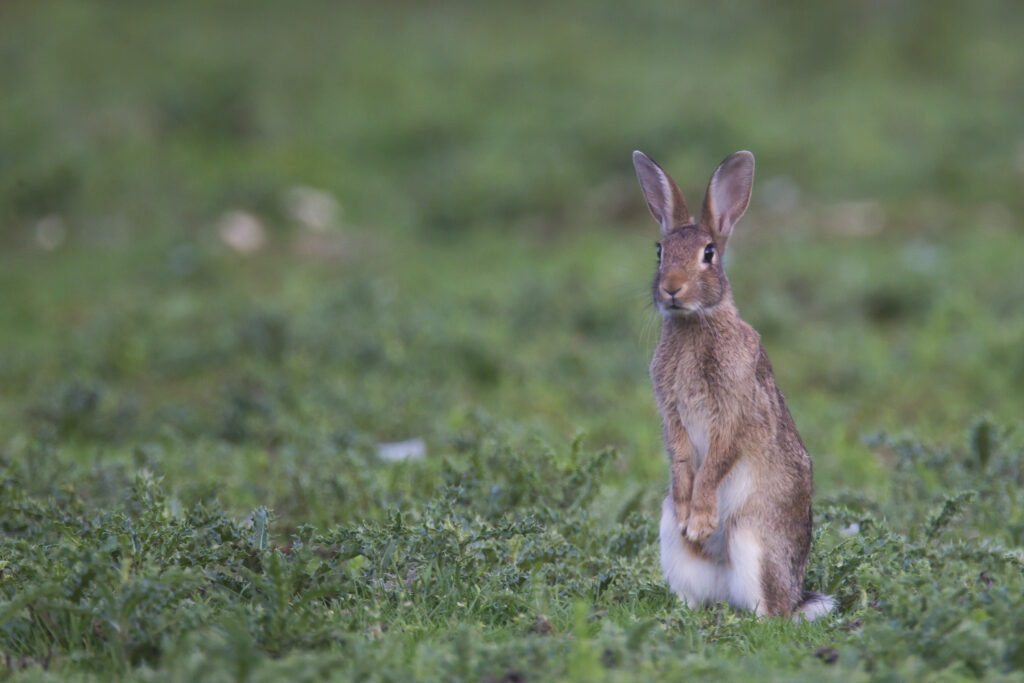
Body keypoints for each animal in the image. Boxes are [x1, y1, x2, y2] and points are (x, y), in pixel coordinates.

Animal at [634, 152, 835, 622]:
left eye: (708, 253)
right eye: (659, 251)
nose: (671, 289)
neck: (696, 323)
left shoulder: (736, 409)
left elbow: (716, 462)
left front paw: (701, 520)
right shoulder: (672, 414)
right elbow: (681, 458)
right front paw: (690, 515)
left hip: (753, 537)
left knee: (771, 614)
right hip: (670, 538)